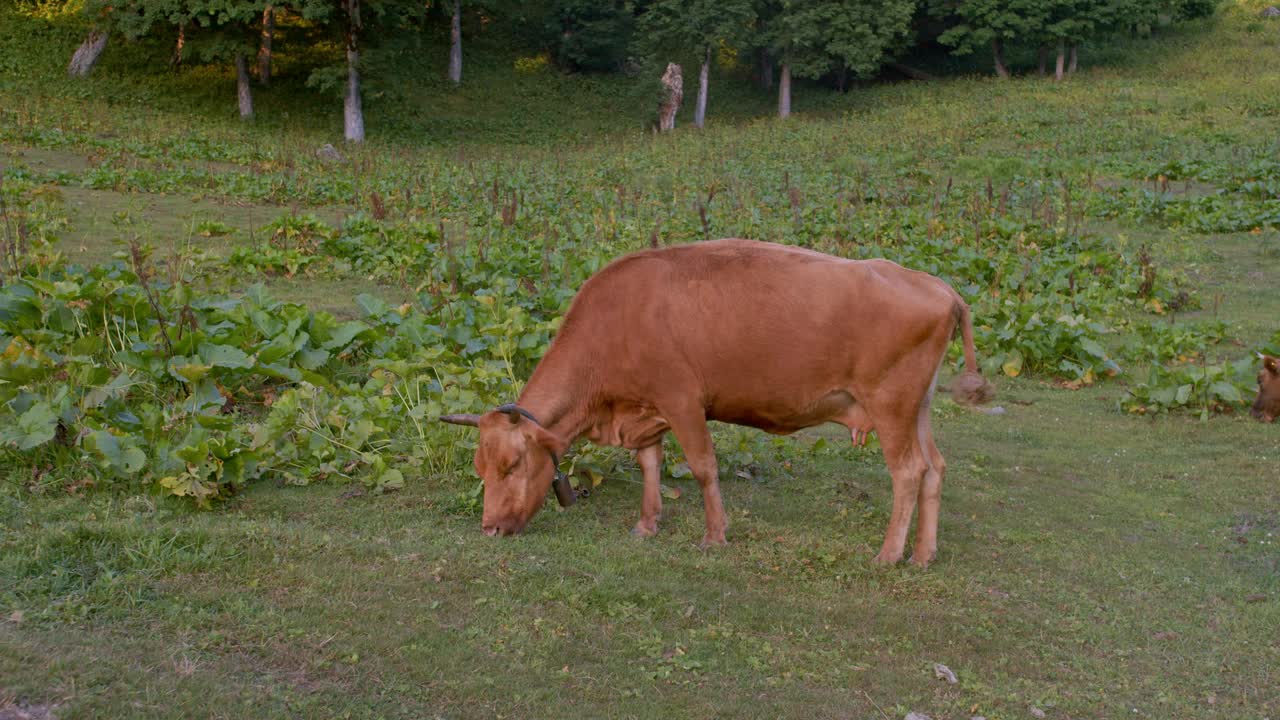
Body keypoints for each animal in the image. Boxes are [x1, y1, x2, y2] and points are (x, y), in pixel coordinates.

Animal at [440, 238, 988, 563]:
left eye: (512, 465)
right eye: (480, 468)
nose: (490, 529)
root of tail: (937, 285)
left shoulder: (682, 400)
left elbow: (704, 467)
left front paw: (714, 535)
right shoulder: (646, 408)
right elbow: (649, 465)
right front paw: (647, 524)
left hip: (891, 404)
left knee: (909, 471)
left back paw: (890, 554)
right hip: (918, 407)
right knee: (936, 467)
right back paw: (924, 554)